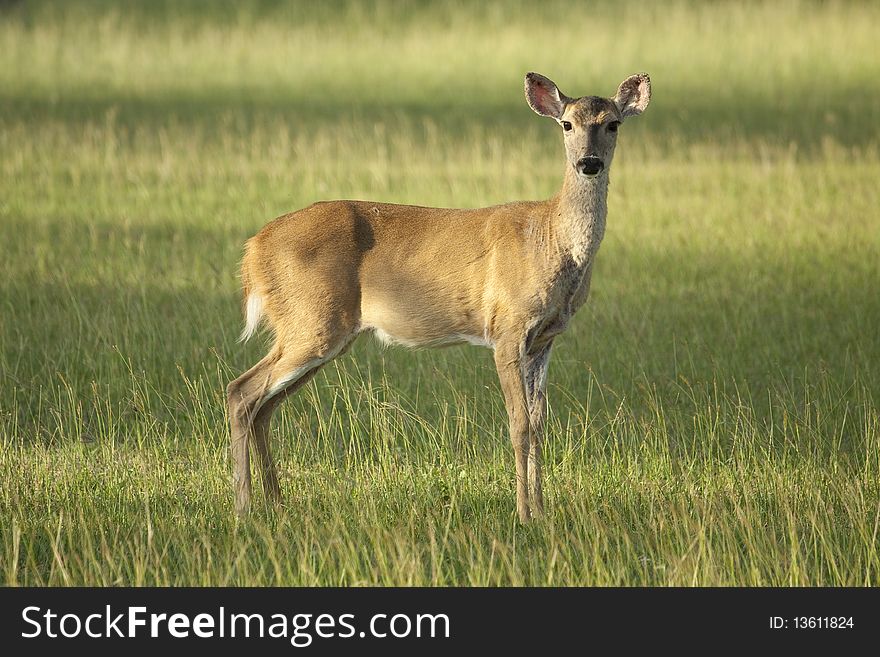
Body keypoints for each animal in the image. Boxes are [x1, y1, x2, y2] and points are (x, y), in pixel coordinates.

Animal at [227, 72, 648, 524]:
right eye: (567, 124)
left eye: (613, 124)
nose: (589, 163)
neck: (551, 237)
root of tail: (253, 248)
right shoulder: (507, 327)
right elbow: (518, 425)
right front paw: (523, 514)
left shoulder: (545, 339)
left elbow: (539, 425)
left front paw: (542, 511)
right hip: (312, 320)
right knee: (241, 391)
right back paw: (244, 507)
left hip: (317, 331)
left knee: (263, 406)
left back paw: (275, 502)